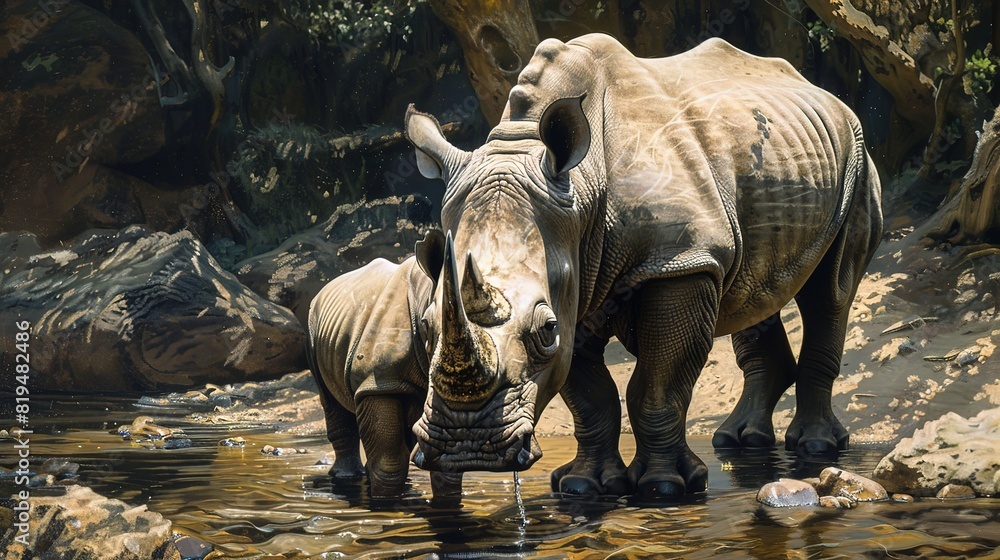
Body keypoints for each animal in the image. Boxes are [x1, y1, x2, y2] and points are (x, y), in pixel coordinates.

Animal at [306, 232, 462, 500]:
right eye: (426, 326)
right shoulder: (377, 383)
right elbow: (388, 461)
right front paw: (384, 501)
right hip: (312, 323)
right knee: (330, 399)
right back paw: (345, 477)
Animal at [404, 34, 882, 498]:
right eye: (425, 327)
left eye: (545, 330)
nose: (466, 447)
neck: (581, 189)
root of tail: (822, 93)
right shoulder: (576, 280)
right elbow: (590, 396)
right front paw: (582, 485)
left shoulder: (680, 263)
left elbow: (658, 388)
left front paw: (665, 487)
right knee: (753, 288)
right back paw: (738, 440)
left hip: (857, 156)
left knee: (830, 294)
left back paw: (816, 446)